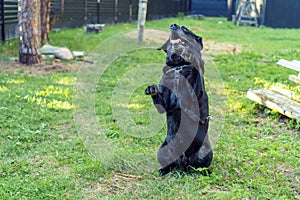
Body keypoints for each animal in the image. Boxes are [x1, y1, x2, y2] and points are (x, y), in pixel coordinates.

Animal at [144, 23, 212, 177]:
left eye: (185, 29)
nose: (173, 24)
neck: (178, 66)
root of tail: (184, 162)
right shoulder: (167, 104)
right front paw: (151, 89)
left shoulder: (193, 90)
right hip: (162, 150)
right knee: (170, 165)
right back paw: (163, 170)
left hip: (206, 151)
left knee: (200, 167)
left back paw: (206, 172)